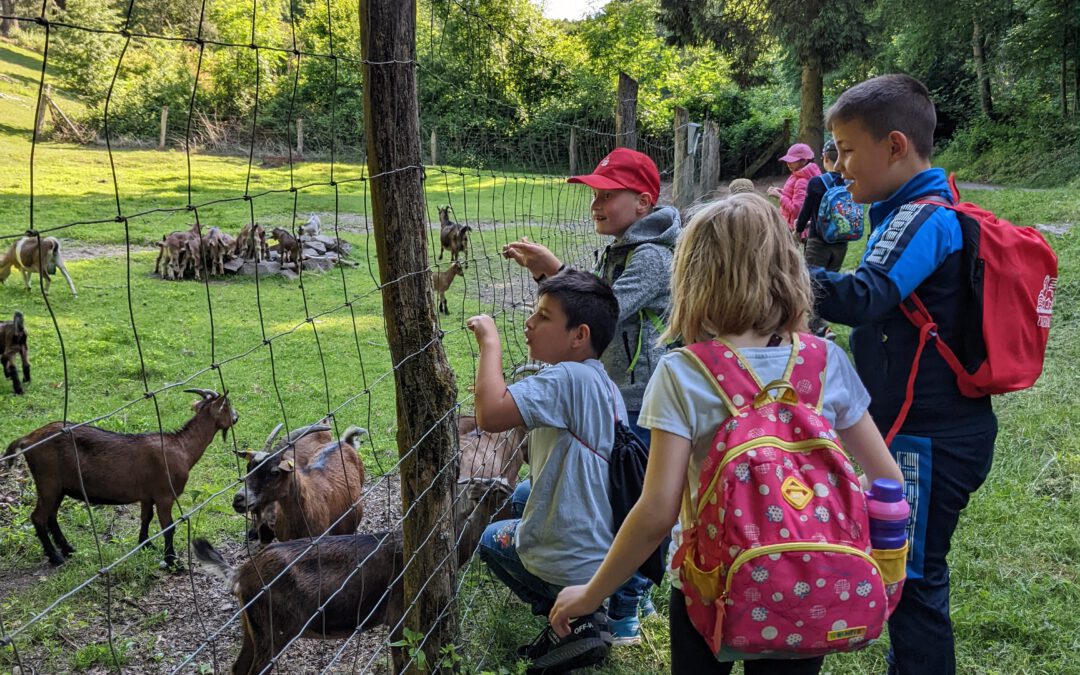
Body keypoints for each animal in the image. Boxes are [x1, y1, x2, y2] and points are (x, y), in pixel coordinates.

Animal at [3, 386, 240, 565]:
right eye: (228, 406)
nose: (237, 417)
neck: (182, 447)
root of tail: (28, 439)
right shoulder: (165, 495)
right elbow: (168, 527)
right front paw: (172, 560)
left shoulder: (147, 495)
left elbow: (146, 518)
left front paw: (146, 544)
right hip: (48, 482)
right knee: (38, 517)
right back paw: (55, 557)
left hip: (58, 487)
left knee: (51, 516)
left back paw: (68, 549)